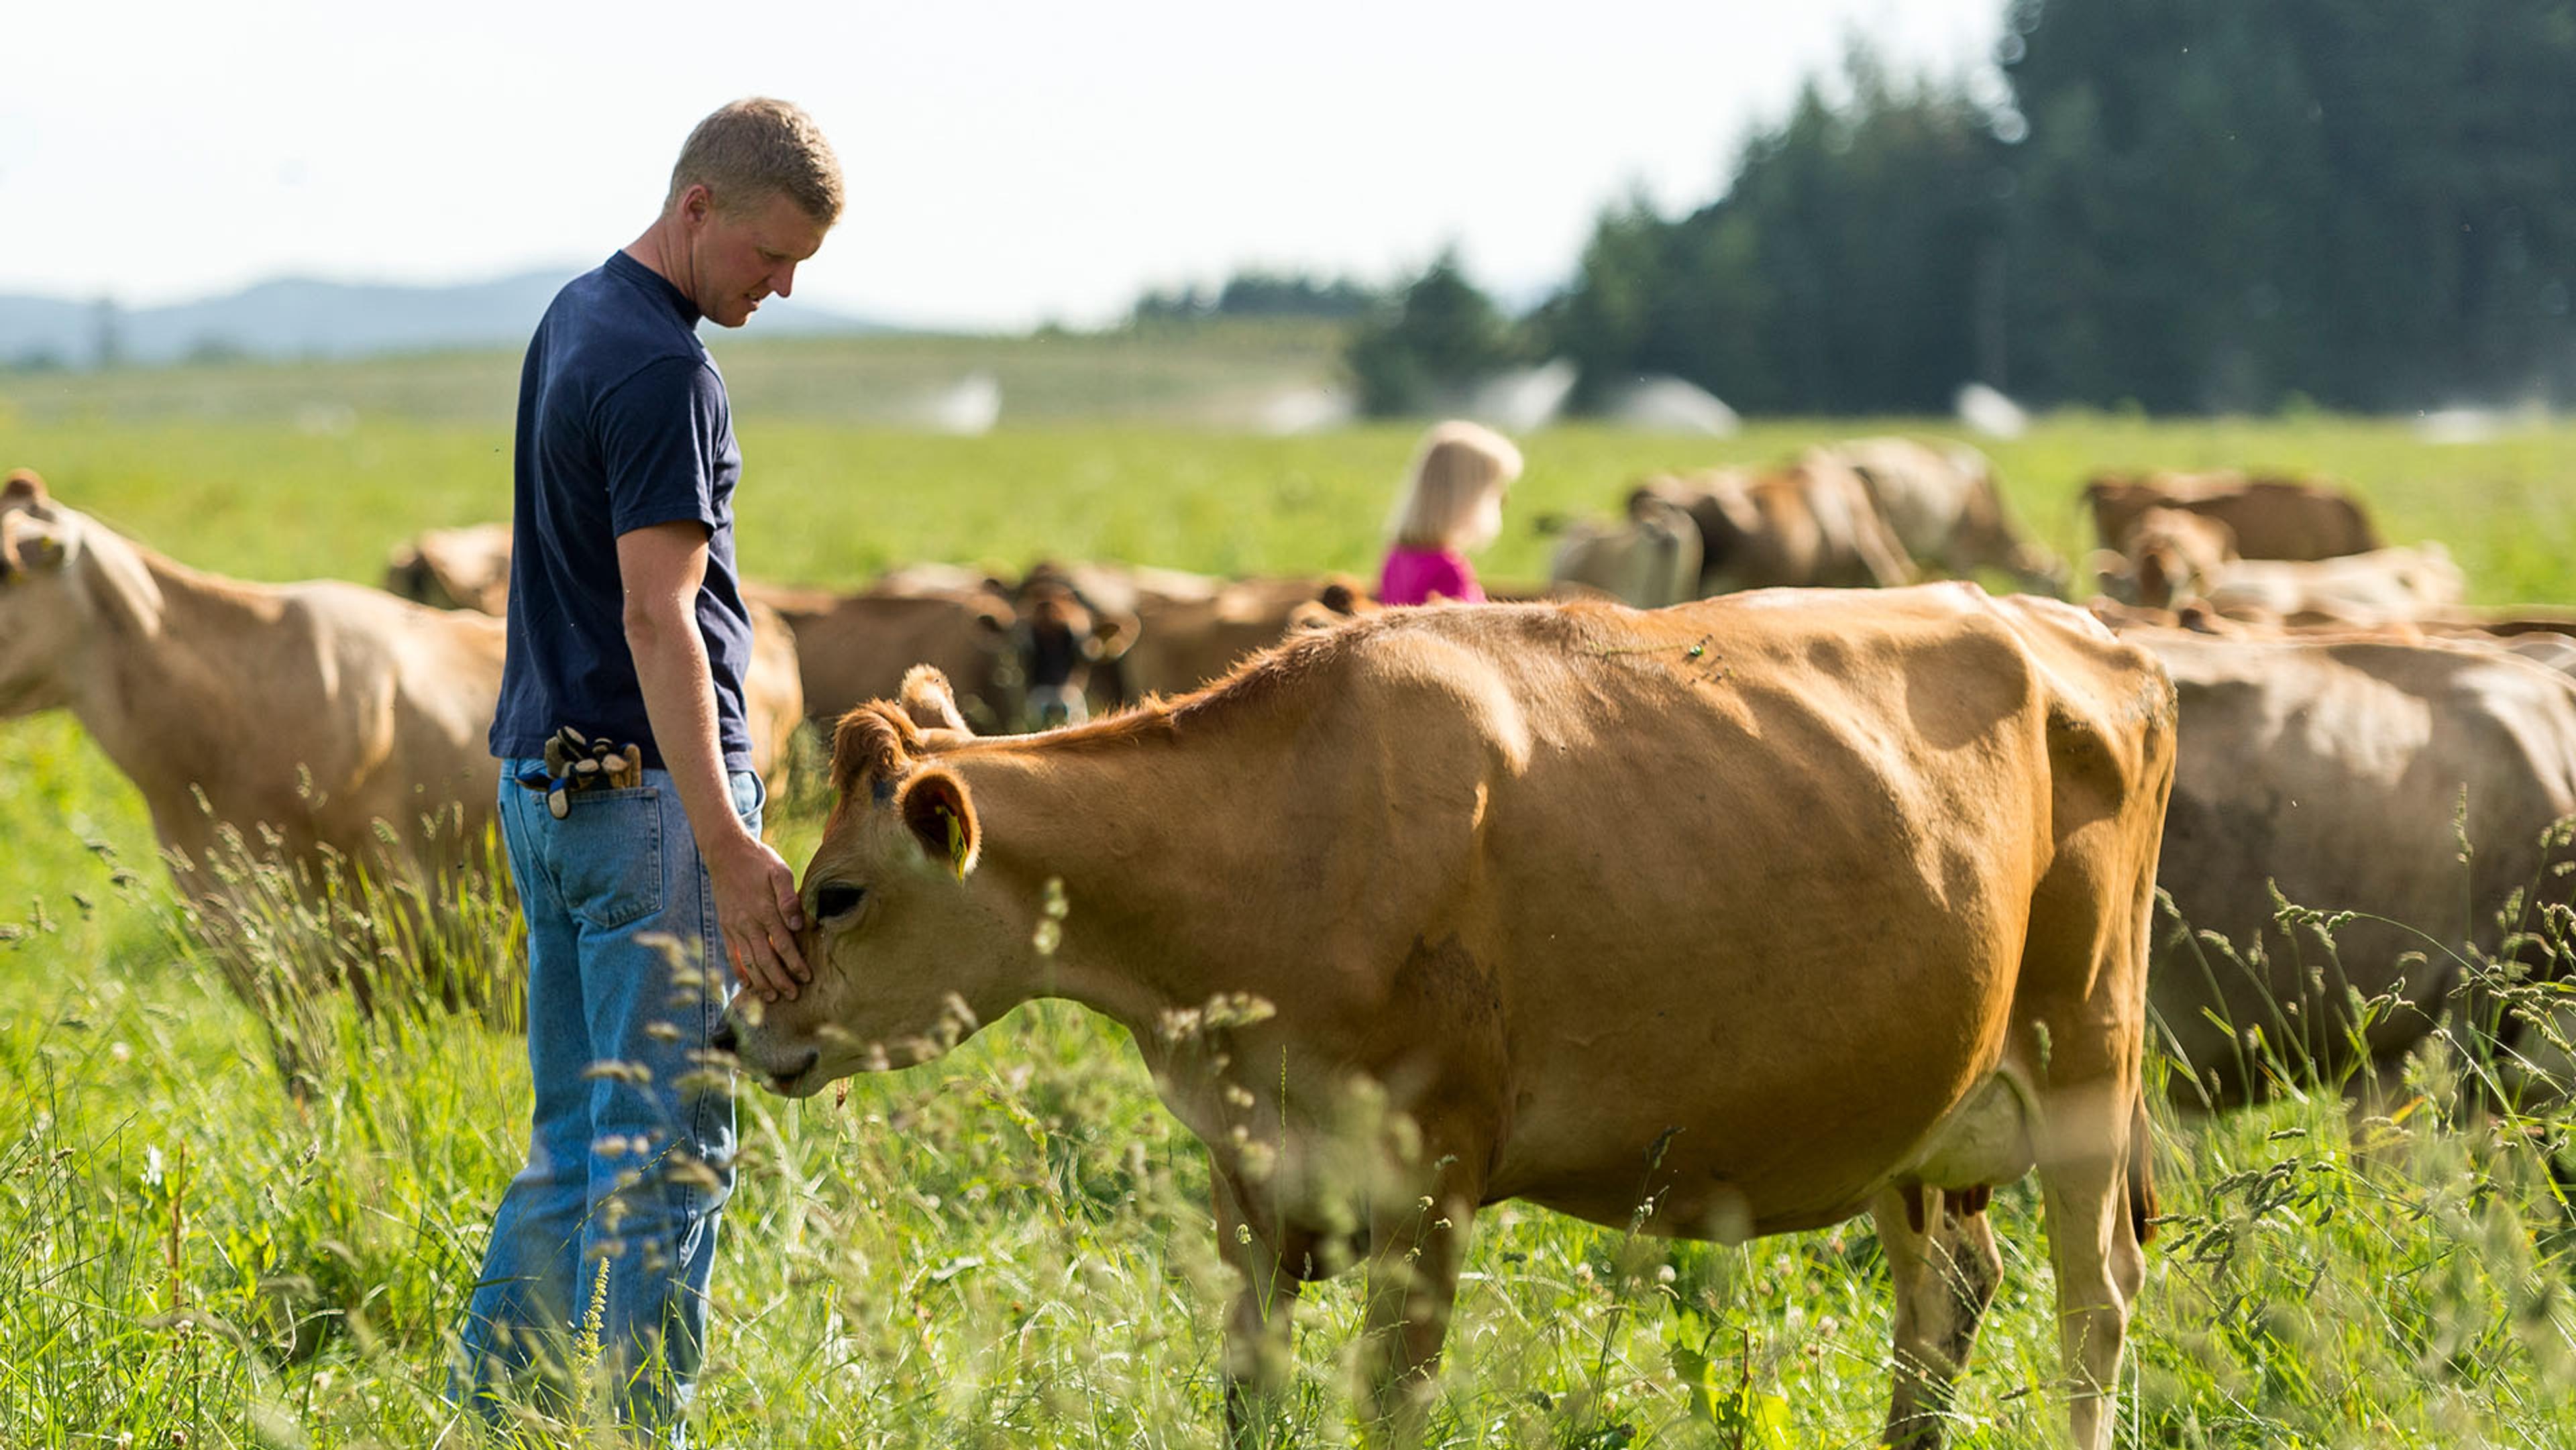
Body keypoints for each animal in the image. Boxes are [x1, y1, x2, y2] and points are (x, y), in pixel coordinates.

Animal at [720, 584, 2179, 1450]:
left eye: (839, 893)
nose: (743, 1030)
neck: (1276, 841)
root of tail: (2100, 639)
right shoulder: (1248, 1176)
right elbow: (1251, 1394)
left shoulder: (1433, 1174)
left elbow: (1391, 1403)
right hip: (1918, 1109)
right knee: (1946, 1293)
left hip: (2086, 1057)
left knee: (2094, 1301)